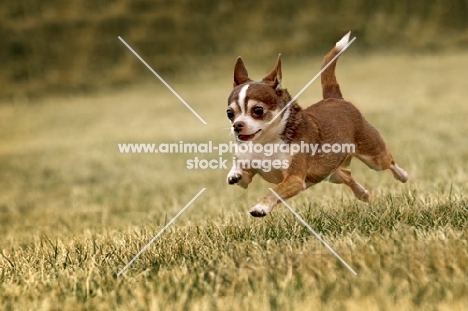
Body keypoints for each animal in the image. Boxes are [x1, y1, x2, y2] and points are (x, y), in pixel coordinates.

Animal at [226, 31, 406, 217]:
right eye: (230, 113)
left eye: (258, 110)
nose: (237, 125)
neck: (265, 143)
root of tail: (334, 98)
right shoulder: (249, 176)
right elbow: (241, 171)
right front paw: (234, 173)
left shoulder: (295, 179)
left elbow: (275, 191)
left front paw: (261, 207)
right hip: (330, 172)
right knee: (347, 174)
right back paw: (362, 193)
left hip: (374, 157)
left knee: (388, 161)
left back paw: (402, 175)